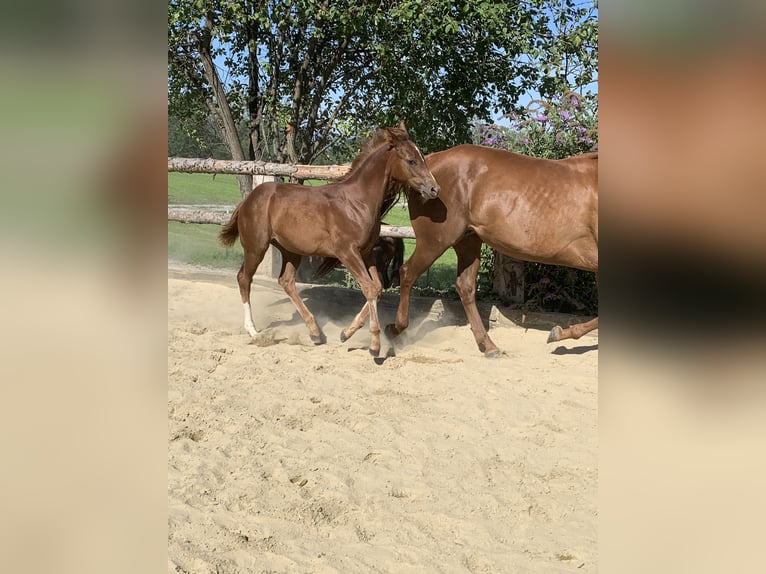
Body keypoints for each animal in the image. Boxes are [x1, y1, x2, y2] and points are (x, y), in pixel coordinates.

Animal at [219, 124, 440, 358]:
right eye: (411, 160)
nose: (434, 189)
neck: (357, 202)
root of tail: (248, 200)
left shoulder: (367, 252)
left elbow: (377, 288)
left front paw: (346, 333)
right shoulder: (347, 252)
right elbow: (369, 288)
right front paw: (374, 345)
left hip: (291, 250)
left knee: (286, 281)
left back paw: (315, 332)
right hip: (256, 247)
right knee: (244, 278)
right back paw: (254, 331)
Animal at [388, 145, 596, 356]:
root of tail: (429, 163)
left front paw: (559, 333)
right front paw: (558, 334)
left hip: (468, 242)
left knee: (465, 287)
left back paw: (489, 346)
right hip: (435, 241)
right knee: (407, 273)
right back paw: (394, 330)